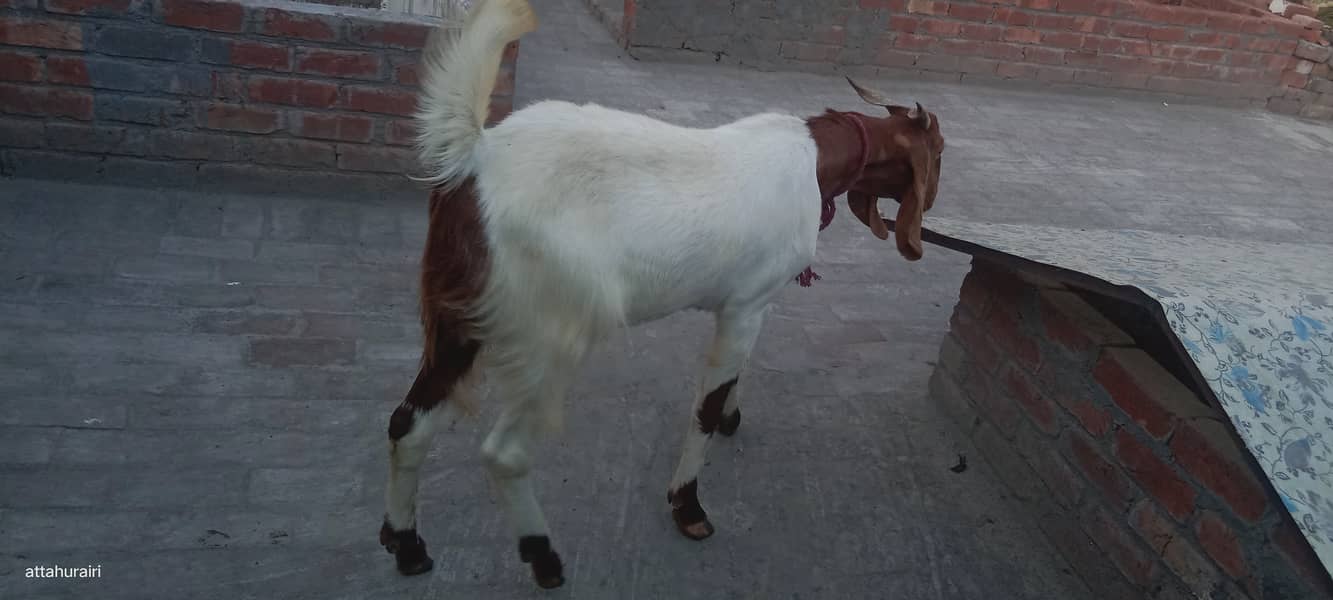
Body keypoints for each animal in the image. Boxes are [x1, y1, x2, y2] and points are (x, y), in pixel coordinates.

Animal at [377, 0, 947, 589]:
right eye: (940, 151)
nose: (930, 207)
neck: (813, 162)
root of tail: (477, 157)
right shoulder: (746, 304)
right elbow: (705, 406)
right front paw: (688, 506)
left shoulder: (752, 306)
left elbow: (736, 376)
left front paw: (732, 418)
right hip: (551, 331)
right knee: (504, 452)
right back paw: (542, 554)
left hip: (458, 317)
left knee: (408, 423)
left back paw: (407, 543)